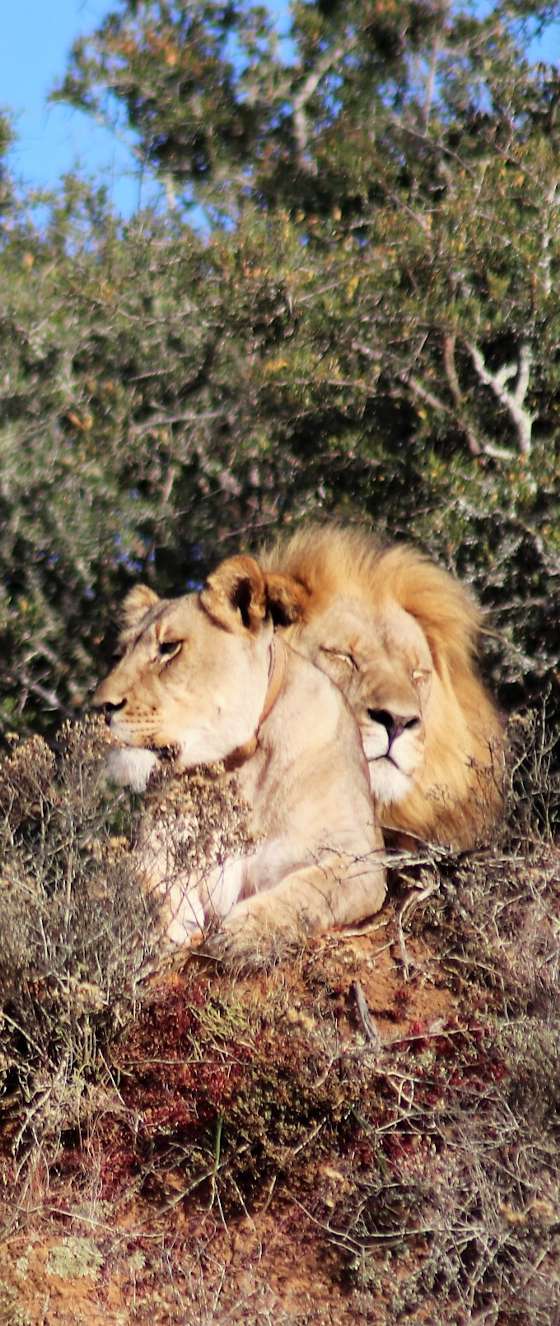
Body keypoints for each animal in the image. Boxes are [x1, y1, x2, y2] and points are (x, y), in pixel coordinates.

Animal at [94, 551, 387, 965]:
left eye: (169, 648)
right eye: (120, 655)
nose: (100, 706)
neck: (238, 767)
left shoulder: (359, 858)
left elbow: (309, 890)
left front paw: (241, 933)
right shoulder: (159, 855)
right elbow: (145, 887)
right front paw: (161, 931)